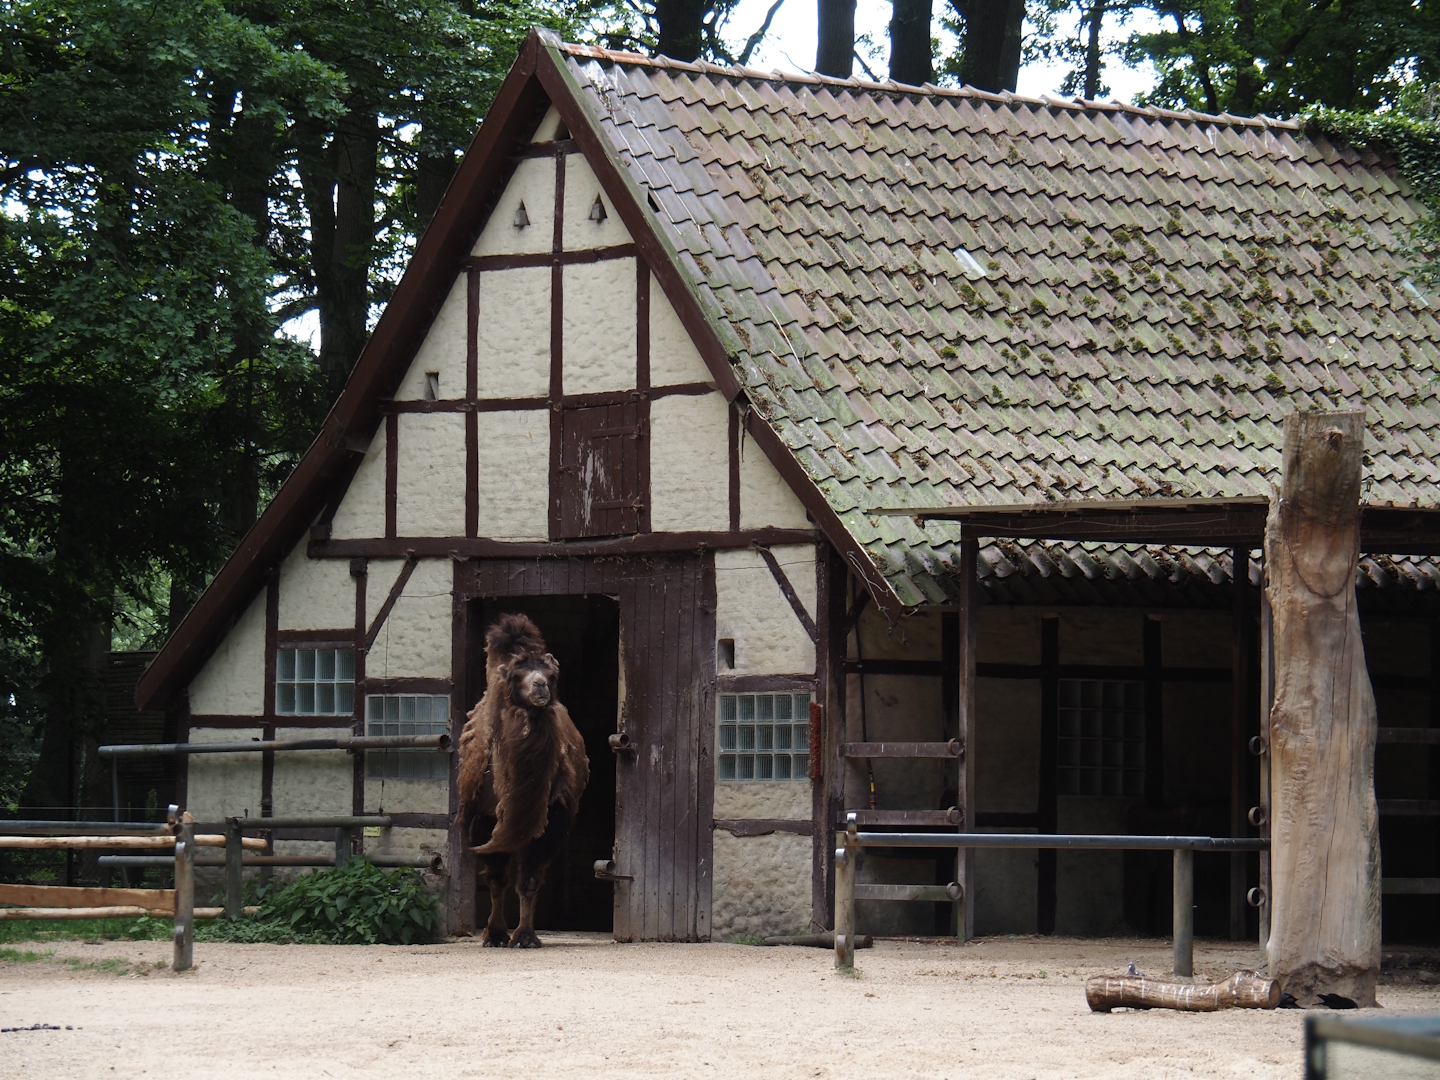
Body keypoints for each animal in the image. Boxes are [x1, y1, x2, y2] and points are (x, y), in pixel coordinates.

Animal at [457, 613, 590, 948]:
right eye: (517, 676)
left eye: (551, 674)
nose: (540, 685)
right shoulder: (485, 817)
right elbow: (496, 879)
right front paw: (495, 934)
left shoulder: (552, 818)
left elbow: (529, 879)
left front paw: (526, 936)